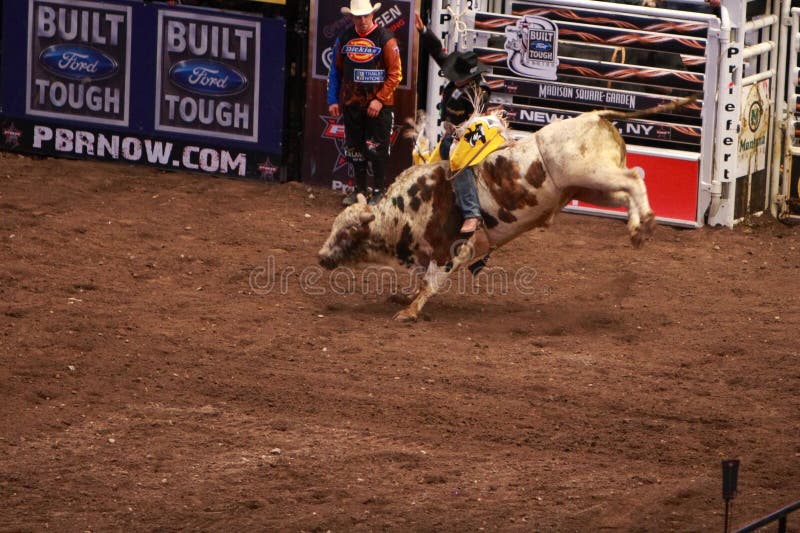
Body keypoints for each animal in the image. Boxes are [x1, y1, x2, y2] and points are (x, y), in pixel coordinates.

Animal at [318, 98, 692, 322]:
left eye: (347, 232)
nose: (321, 257)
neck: (406, 211)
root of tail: (598, 114)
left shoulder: (453, 249)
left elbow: (432, 283)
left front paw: (409, 311)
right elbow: (422, 278)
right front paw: (405, 297)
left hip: (593, 173)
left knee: (634, 179)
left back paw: (644, 227)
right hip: (592, 187)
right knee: (627, 192)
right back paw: (637, 228)